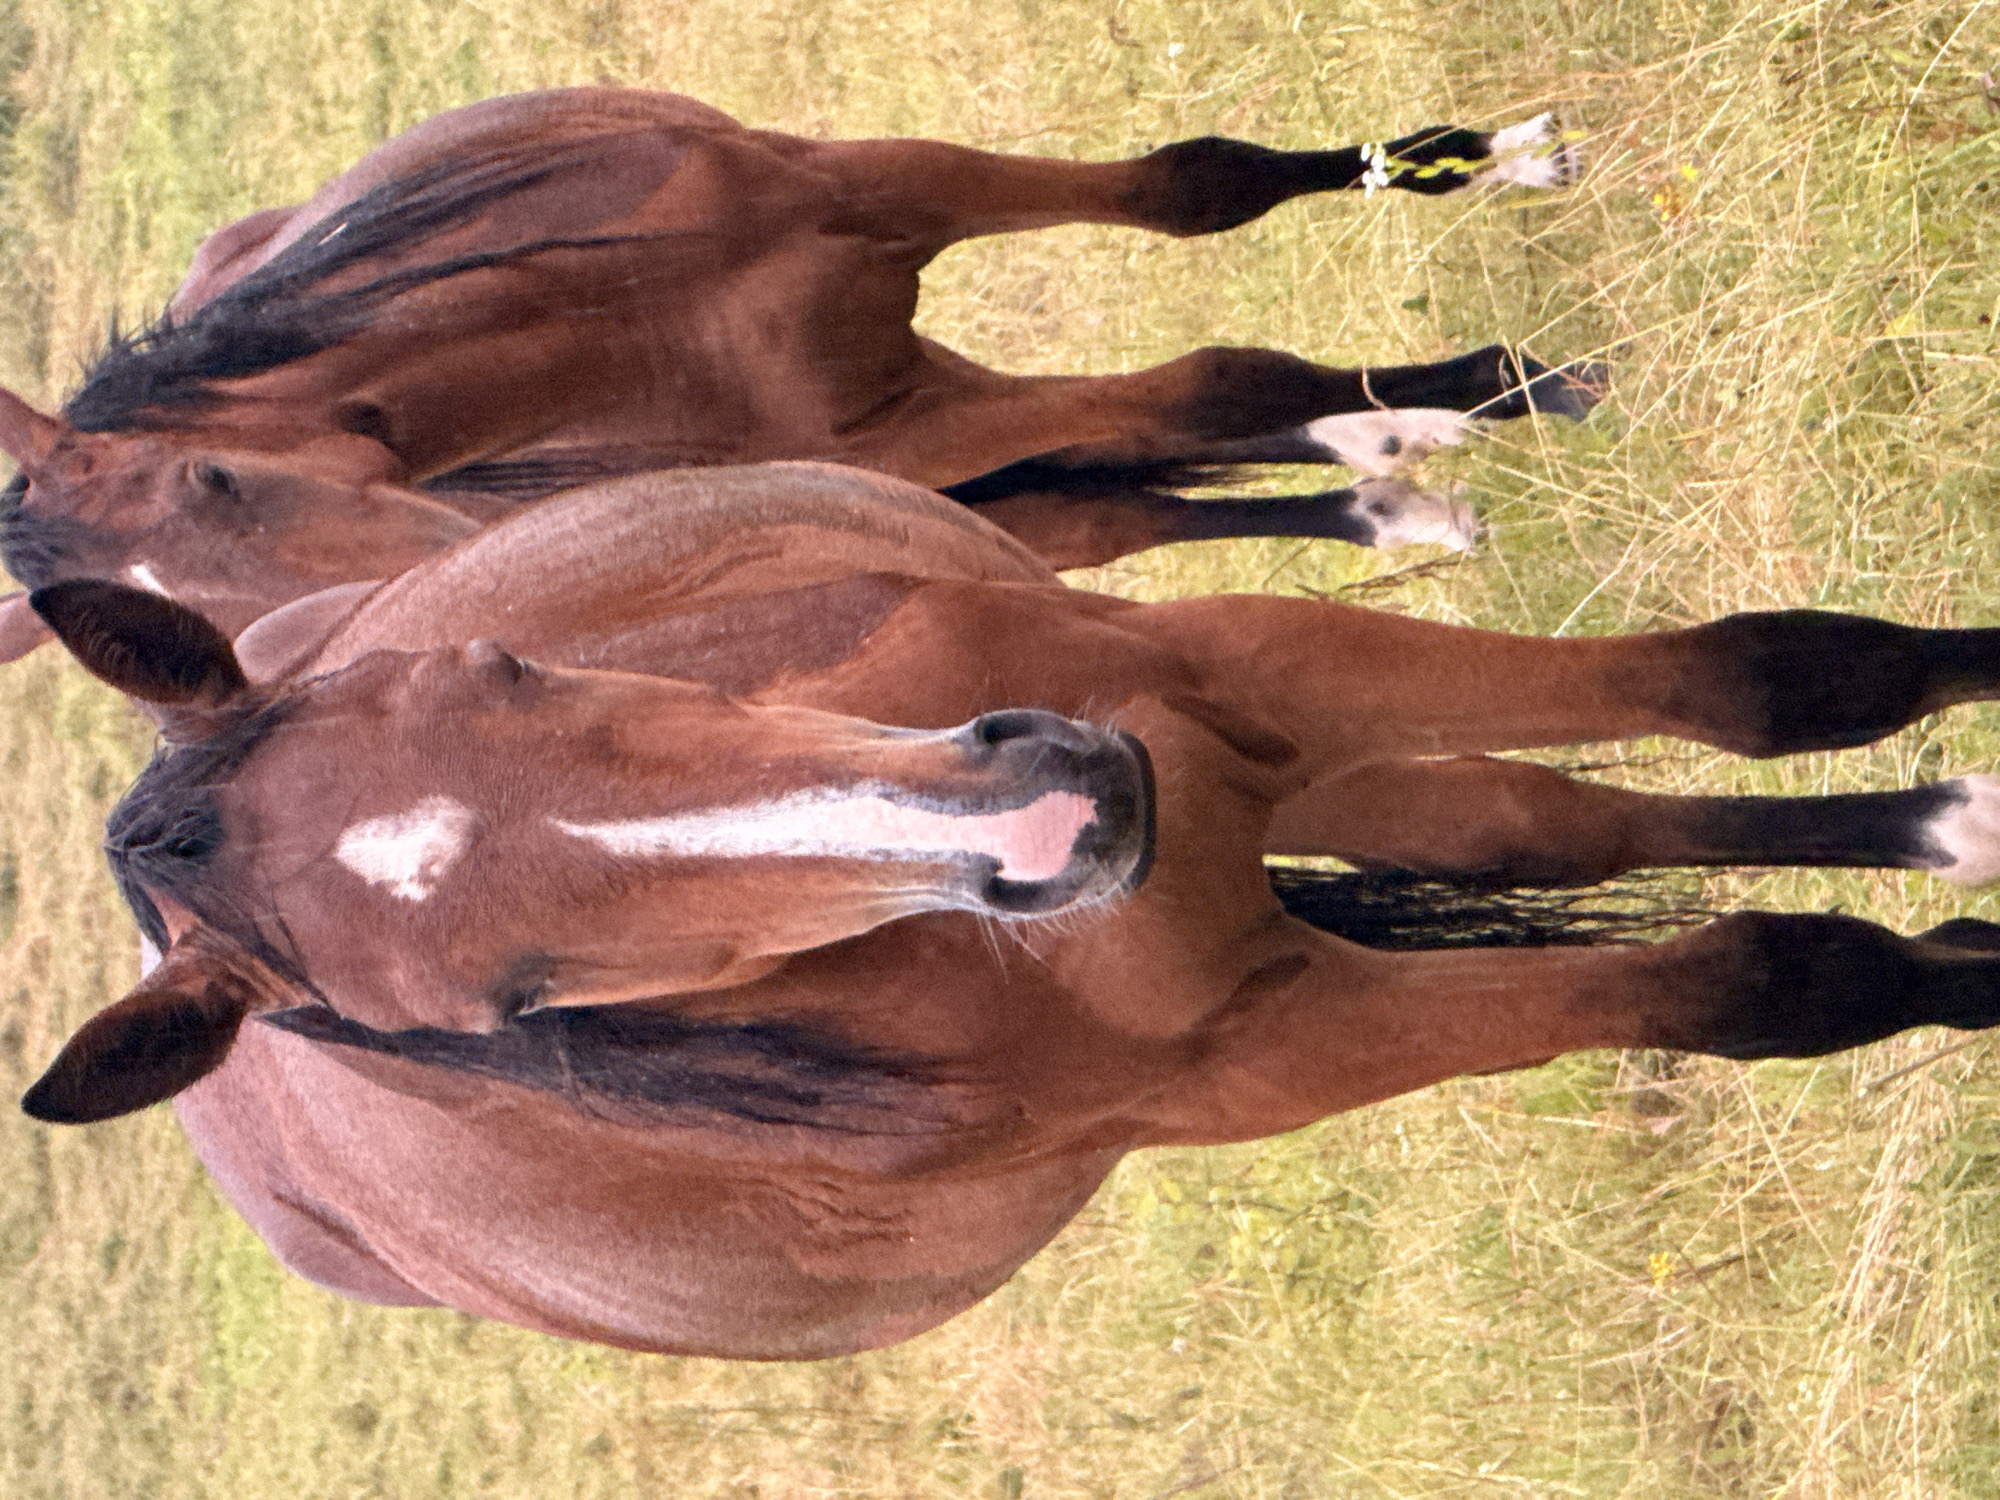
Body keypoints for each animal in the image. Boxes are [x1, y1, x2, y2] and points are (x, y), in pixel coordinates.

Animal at [0, 86, 1602, 664]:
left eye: (217, 478)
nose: (436, 584)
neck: (637, 332)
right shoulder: (911, 433)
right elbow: (1209, 387)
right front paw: (1498, 389)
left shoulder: (882, 189)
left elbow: (1193, 190)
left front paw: (1492, 167)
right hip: (952, 461)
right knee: (1126, 501)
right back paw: (1402, 476)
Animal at [20, 462, 2000, 1359]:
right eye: (502, 1011)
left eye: (496, 660)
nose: (1055, 811)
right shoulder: (1298, 1039)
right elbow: (1773, 983)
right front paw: (1953, 980)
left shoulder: (1247, 683)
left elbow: (1781, 679)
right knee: (1557, 847)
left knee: (1556, 828)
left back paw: (1944, 843)